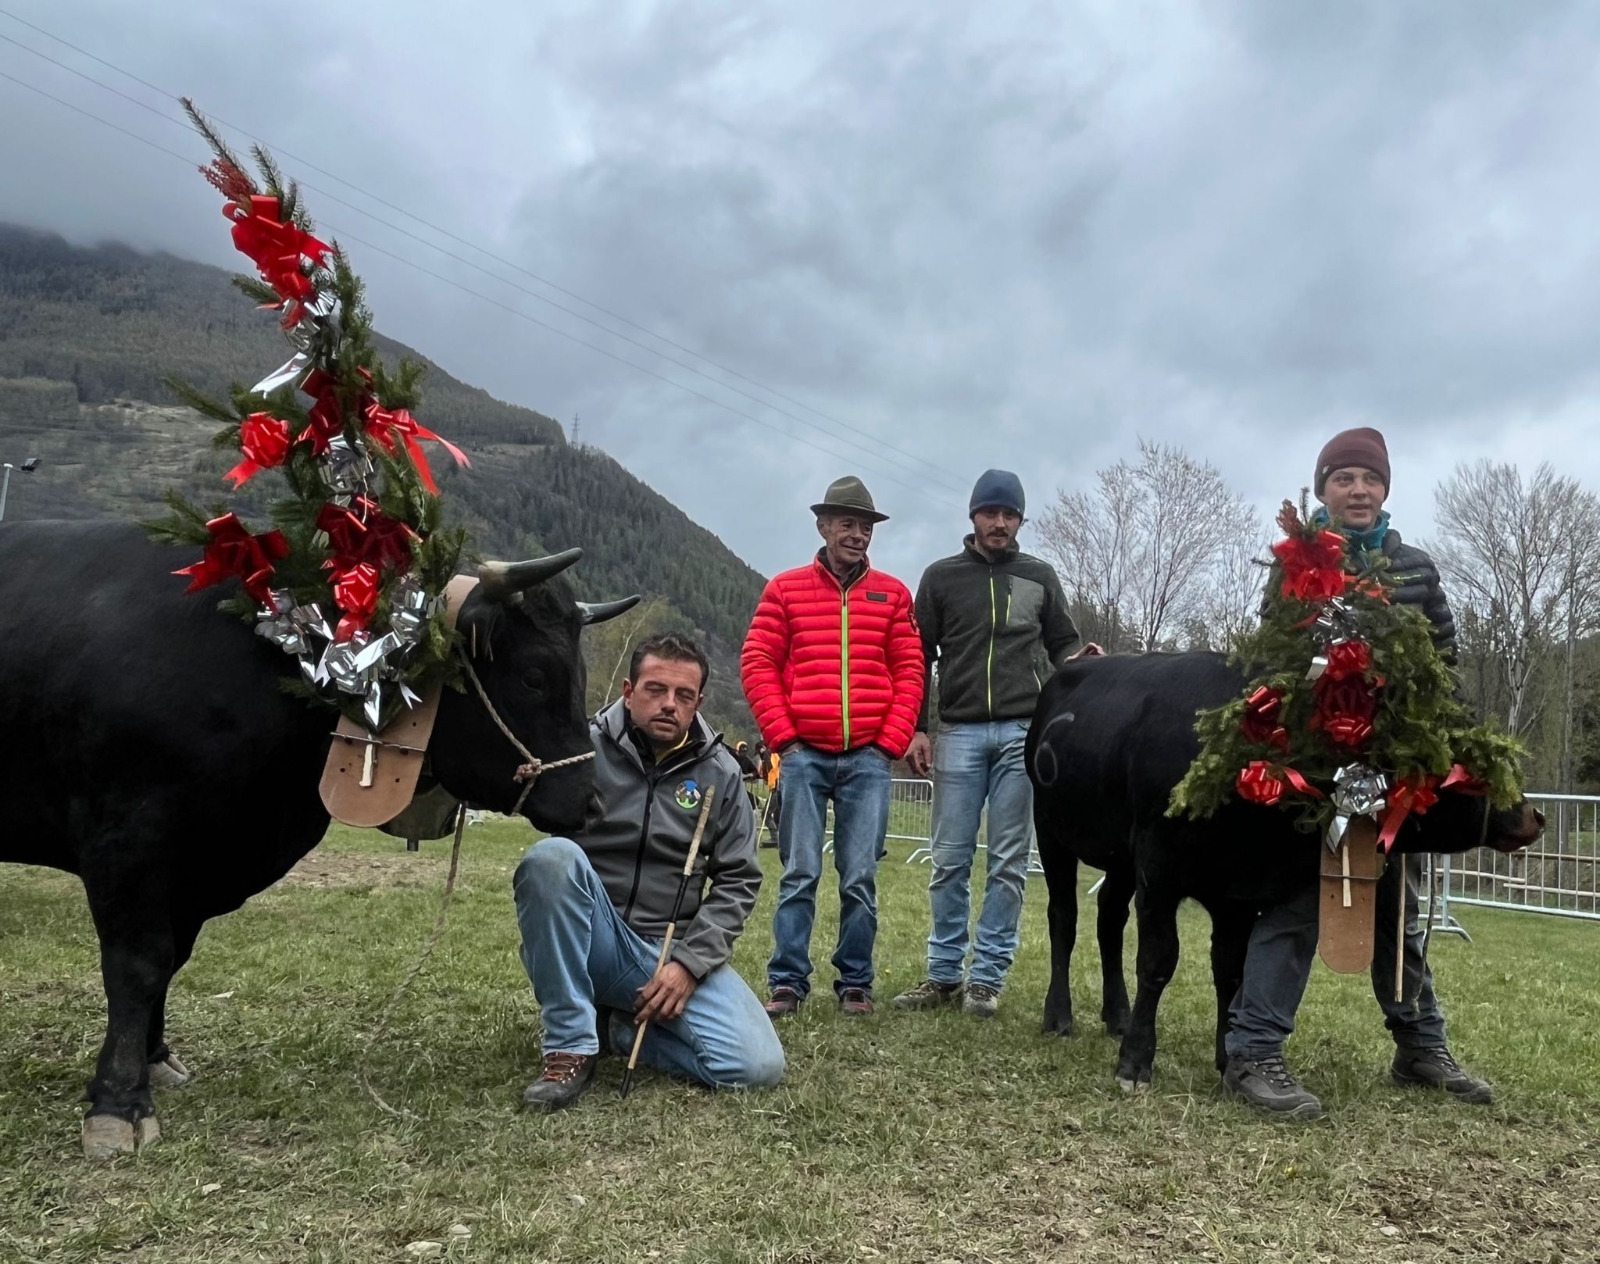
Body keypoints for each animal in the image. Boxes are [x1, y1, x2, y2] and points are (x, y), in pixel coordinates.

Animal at [0, 521, 636, 1158]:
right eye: (535, 675)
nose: (592, 802)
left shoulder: (196, 860)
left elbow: (171, 957)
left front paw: (153, 1060)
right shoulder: (128, 837)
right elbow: (140, 963)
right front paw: (119, 1101)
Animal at [1030, 652, 1542, 1100]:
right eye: (1457, 752)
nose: (1532, 815)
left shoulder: (1234, 893)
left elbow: (1231, 971)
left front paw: (1227, 1059)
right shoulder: (1158, 870)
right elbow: (1158, 963)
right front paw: (1135, 1062)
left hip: (1119, 858)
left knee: (1108, 921)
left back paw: (1116, 1014)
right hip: (1052, 834)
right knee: (1064, 919)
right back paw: (1059, 1014)